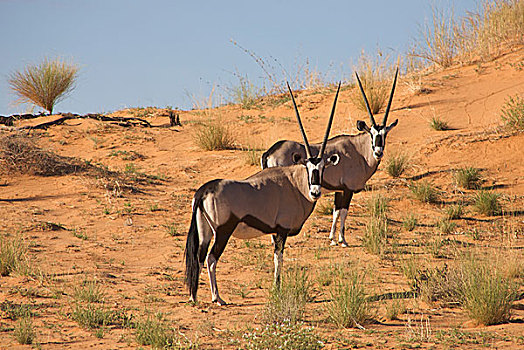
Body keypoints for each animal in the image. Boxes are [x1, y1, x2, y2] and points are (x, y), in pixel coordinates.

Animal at [186, 81, 342, 304]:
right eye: (307, 167)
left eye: (322, 169)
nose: (315, 192)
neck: (294, 184)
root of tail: (203, 191)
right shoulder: (282, 231)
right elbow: (279, 258)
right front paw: (277, 289)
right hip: (223, 231)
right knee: (211, 258)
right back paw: (217, 297)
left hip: (205, 231)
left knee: (199, 258)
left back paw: (194, 297)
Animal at [260, 69, 400, 246]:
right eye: (372, 134)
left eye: (384, 134)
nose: (378, 152)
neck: (359, 151)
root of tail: (270, 151)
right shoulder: (347, 189)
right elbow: (344, 212)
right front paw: (342, 240)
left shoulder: (339, 190)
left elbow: (336, 212)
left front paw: (332, 239)